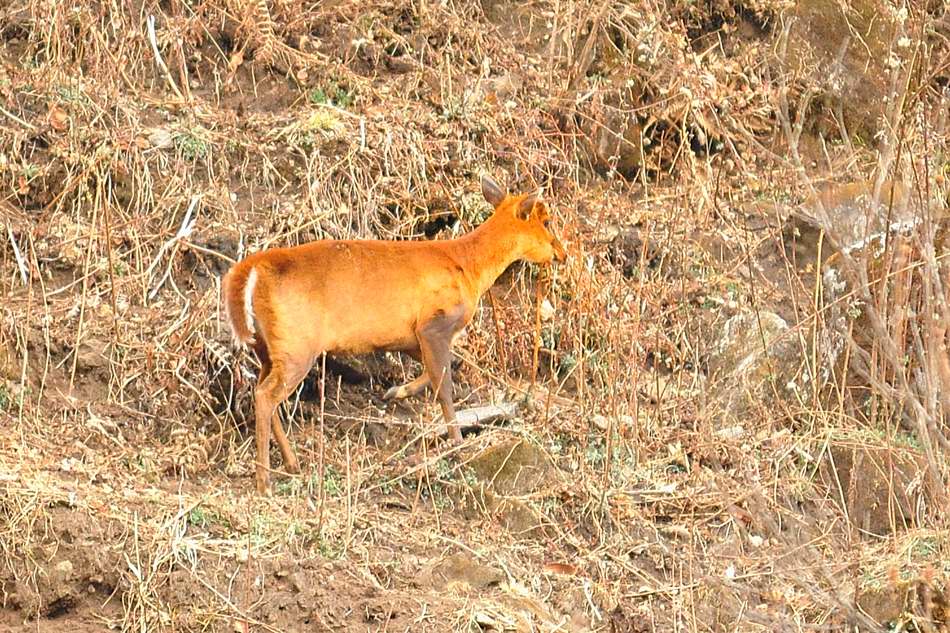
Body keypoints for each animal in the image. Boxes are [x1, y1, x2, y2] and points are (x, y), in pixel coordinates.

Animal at [223, 175, 564, 496]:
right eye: (547, 221)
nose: (560, 253)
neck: (468, 267)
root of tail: (253, 268)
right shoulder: (434, 324)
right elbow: (444, 384)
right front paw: (455, 440)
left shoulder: (411, 335)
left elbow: (439, 370)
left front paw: (396, 392)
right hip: (297, 343)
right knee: (265, 395)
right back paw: (265, 481)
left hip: (268, 346)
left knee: (261, 388)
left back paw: (291, 463)